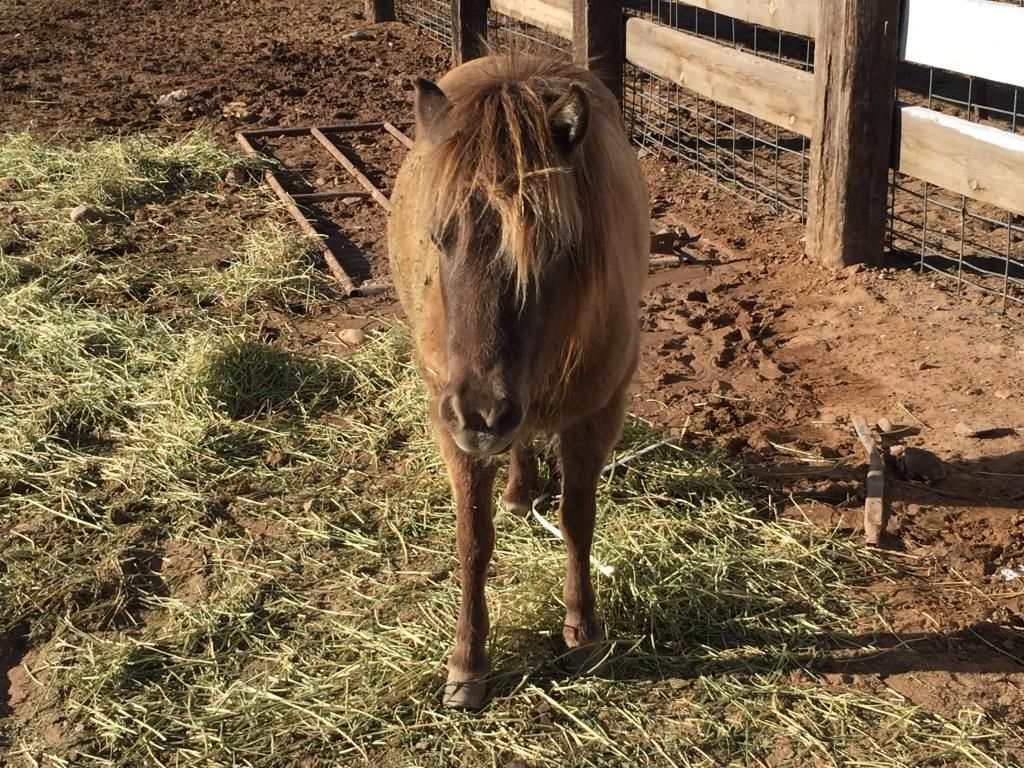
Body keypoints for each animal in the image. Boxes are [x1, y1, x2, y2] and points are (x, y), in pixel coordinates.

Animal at [387, 53, 650, 710]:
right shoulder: (448, 422)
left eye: (553, 245)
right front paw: (467, 661)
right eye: (438, 235)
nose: (482, 414)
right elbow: (472, 540)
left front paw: (583, 629)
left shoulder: (598, 412)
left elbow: (578, 520)